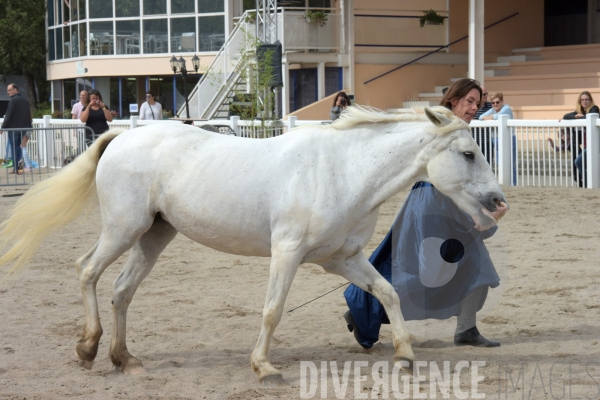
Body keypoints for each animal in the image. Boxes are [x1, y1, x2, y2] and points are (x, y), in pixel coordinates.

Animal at [0, 105, 506, 384]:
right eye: (468, 153)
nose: (499, 202)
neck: (344, 171)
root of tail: (121, 138)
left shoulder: (342, 260)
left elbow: (388, 292)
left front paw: (404, 356)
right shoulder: (288, 253)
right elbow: (272, 311)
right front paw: (265, 368)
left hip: (154, 236)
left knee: (122, 291)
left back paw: (126, 360)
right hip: (124, 228)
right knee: (87, 270)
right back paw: (88, 348)